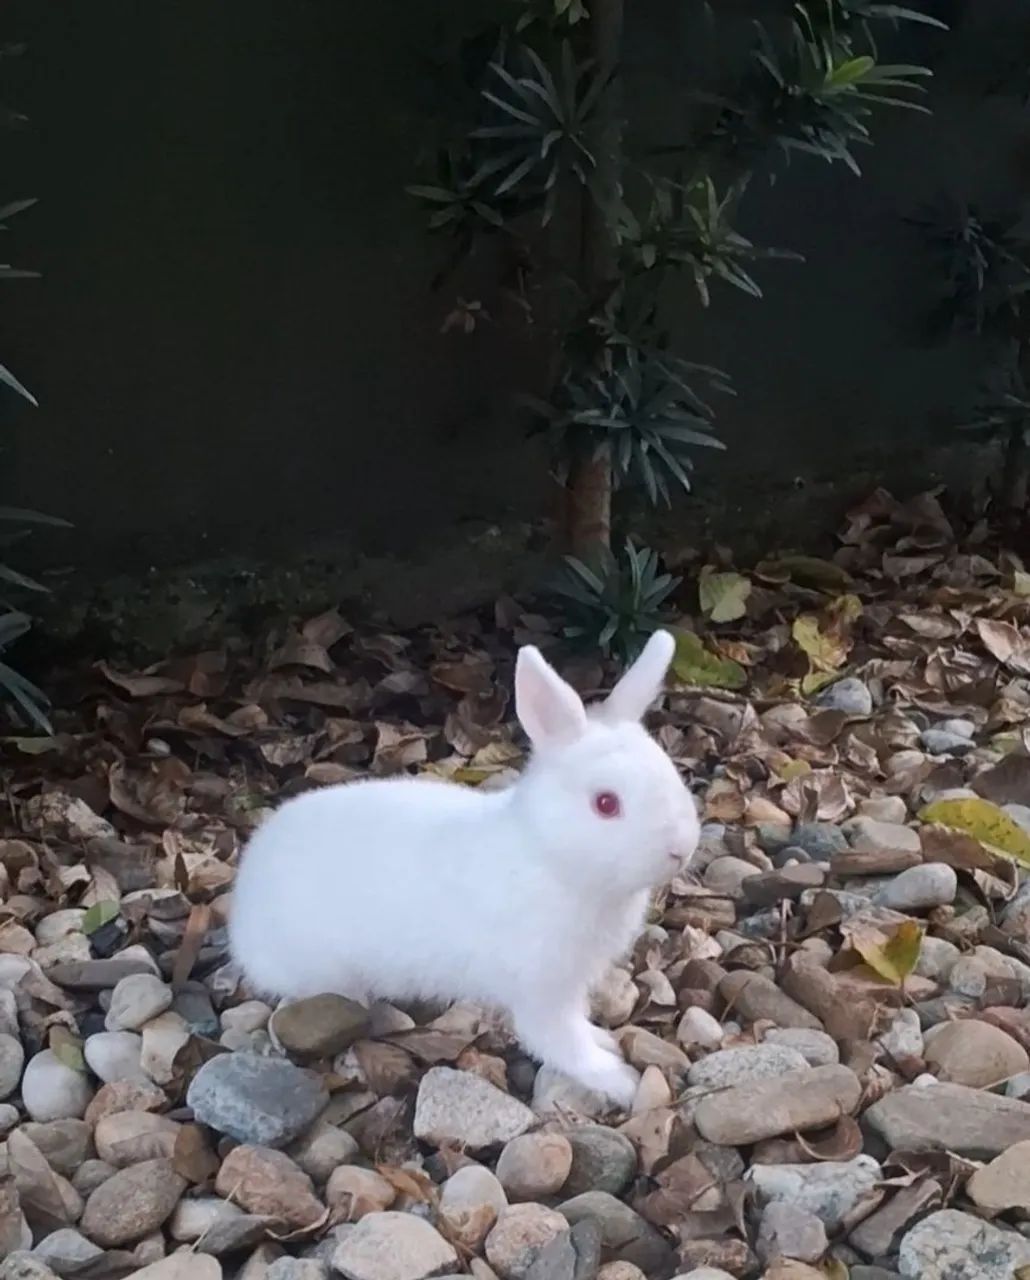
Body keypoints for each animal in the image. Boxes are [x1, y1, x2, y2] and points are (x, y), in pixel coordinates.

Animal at [229, 629, 699, 1107]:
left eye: (670, 771)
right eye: (606, 803)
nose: (682, 848)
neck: (550, 857)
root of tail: (244, 902)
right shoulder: (542, 992)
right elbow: (559, 1041)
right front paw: (618, 1081)